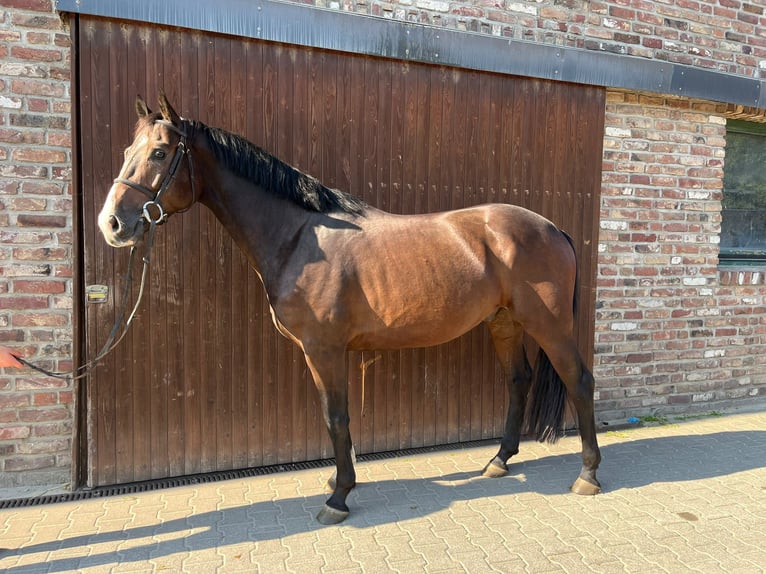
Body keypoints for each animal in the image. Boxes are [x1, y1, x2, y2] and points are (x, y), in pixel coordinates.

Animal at [100, 93, 608, 528]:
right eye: (127, 149)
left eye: (160, 153)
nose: (113, 224)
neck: (299, 238)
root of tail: (552, 227)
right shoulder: (316, 353)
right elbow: (331, 415)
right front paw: (336, 481)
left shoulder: (324, 349)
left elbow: (337, 417)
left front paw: (339, 496)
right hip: (504, 322)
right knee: (518, 381)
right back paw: (498, 461)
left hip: (550, 324)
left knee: (579, 380)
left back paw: (587, 475)